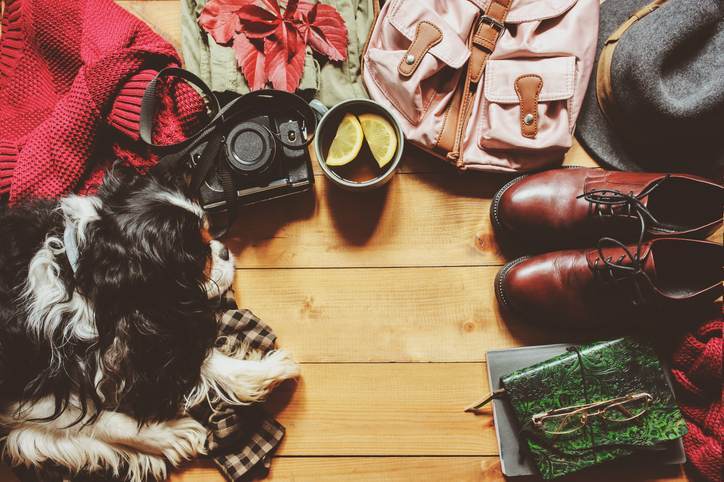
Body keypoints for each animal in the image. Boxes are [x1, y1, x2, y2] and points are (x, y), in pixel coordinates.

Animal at [0, 167, 300, 482]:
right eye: (199, 257)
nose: (225, 251)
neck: (76, 276)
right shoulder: (18, 395)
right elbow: (85, 418)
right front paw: (168, 435)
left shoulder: (150, 327)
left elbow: (189, 357)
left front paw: (262, 373)